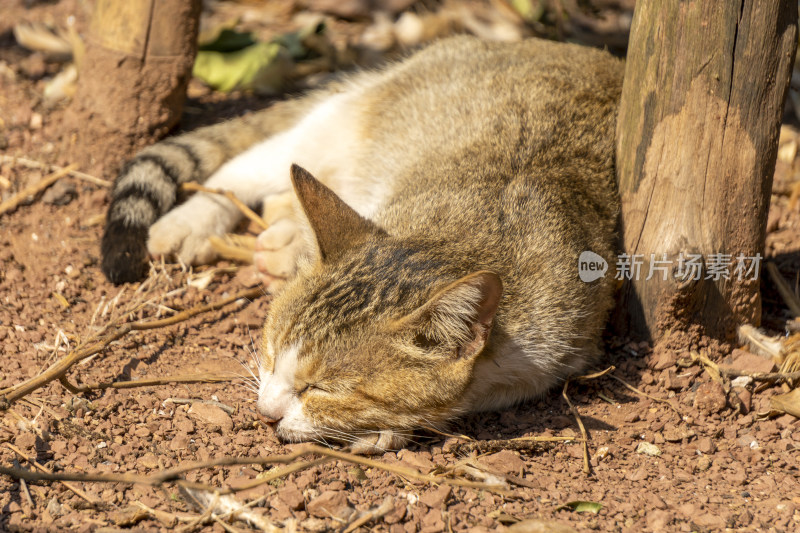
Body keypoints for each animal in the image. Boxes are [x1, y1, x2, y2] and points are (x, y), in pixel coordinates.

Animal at [101, 35, 624, 450]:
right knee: (243, 170)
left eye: (323, 389)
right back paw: (193, 222)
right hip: (338, 125)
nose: (266, 412)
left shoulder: (563, 344)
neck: (460, 232)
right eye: (270, 348)